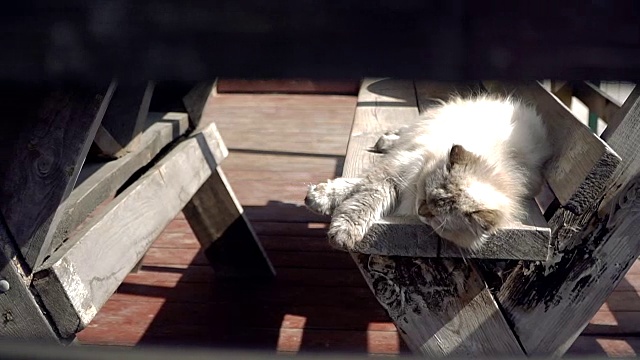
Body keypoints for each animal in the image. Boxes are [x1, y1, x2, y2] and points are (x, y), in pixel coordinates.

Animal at [302, 93, 552, 250]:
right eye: (425, 194)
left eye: (435, 218)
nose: (420, 210)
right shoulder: (394, 172)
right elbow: (358, 199)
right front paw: (320, 201)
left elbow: (357, 197)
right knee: (402, 132)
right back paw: (385, 141)